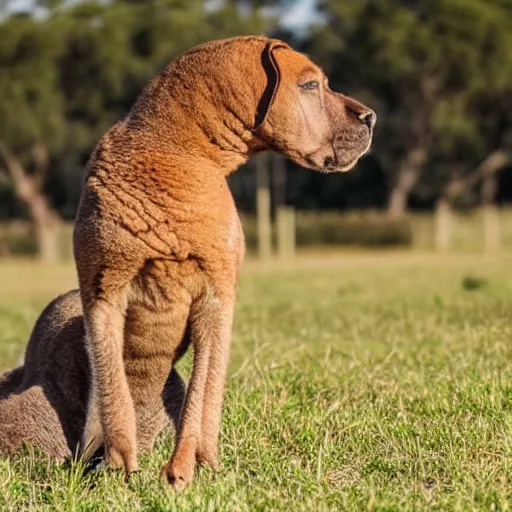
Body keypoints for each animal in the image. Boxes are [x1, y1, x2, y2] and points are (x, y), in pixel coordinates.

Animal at [73, 34, 376, 490]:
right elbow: (113, 392)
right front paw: (121, 472)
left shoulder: (216, 297)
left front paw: (182, 472)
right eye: (310, 85)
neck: (182, 152)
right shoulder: (103, 291)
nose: (372, 118)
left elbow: (201, 394)